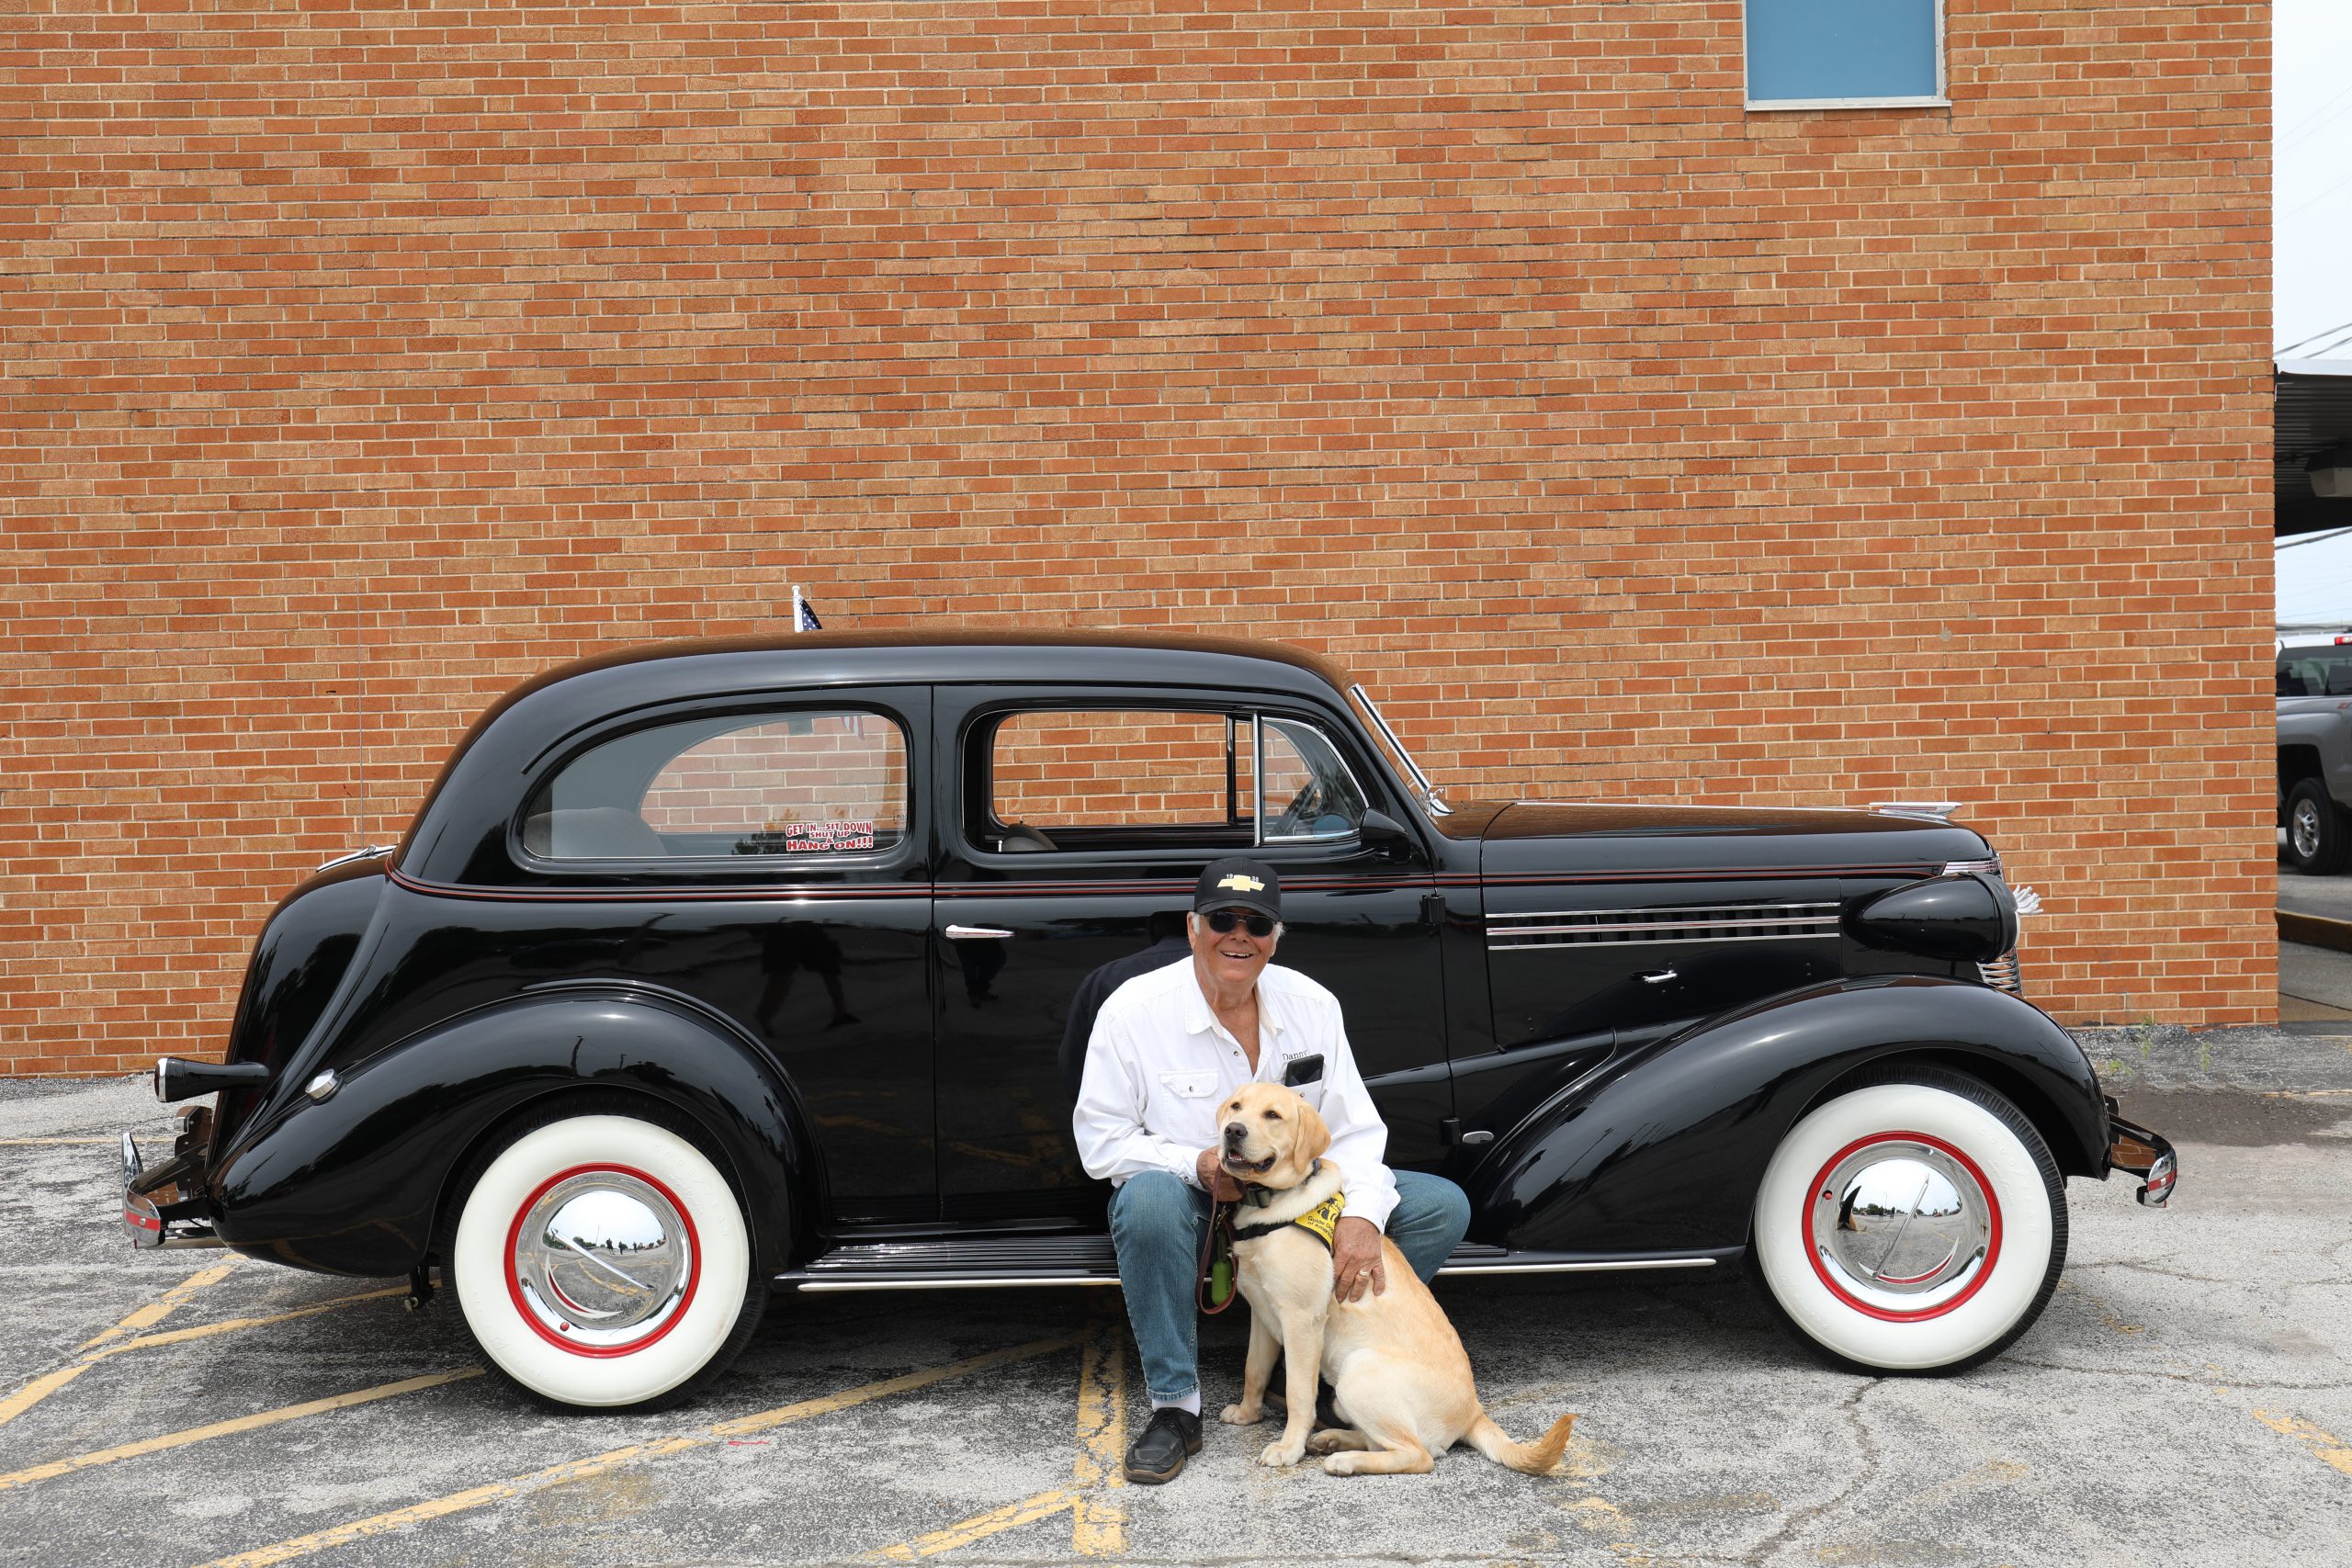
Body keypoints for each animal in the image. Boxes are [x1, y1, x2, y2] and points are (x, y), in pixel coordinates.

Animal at [1213, 1086, 1580, 1476]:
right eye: (1236, 1107)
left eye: (1273, 1115)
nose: (1233, 1130)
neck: (1270, 1205)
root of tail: (1474, 1412)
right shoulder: (1262, 1313)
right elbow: (1254, 1370)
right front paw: (1248, 1414)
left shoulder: (1301, 1320)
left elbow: (1299, 1394)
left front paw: (1288, 1448)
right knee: (1382, 1441)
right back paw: (1332, 1441)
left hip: (1358, 1371)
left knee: (1418, 1455)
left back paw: (1343, 1458)